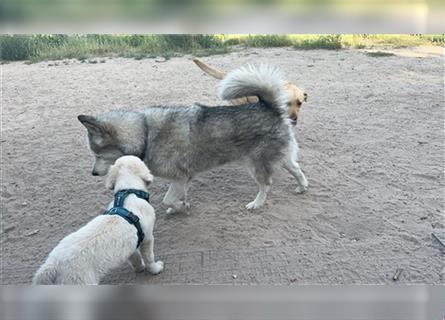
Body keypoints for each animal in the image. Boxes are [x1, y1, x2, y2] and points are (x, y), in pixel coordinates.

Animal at [33, 156, 164, 284]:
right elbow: (149, 257)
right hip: (79, 280)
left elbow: (135, 257)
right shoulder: (147, 238)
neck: (129, 191)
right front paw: (156, 269)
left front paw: (139, 268)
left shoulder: (132, 244)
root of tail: (52, 267)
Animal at [78, 64, 306, 212]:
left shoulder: (180, 177)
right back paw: (302, 186)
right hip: (281, 157)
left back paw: (257, 203)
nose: (93, 173)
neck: (145, 134)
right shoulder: (183, 179)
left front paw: (179, 207)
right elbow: (177, 196)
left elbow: (168, 200)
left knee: (266, 185)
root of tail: (268, 106)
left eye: (98, 154)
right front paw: (182, 205)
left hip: (256, 164)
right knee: (297, 169)